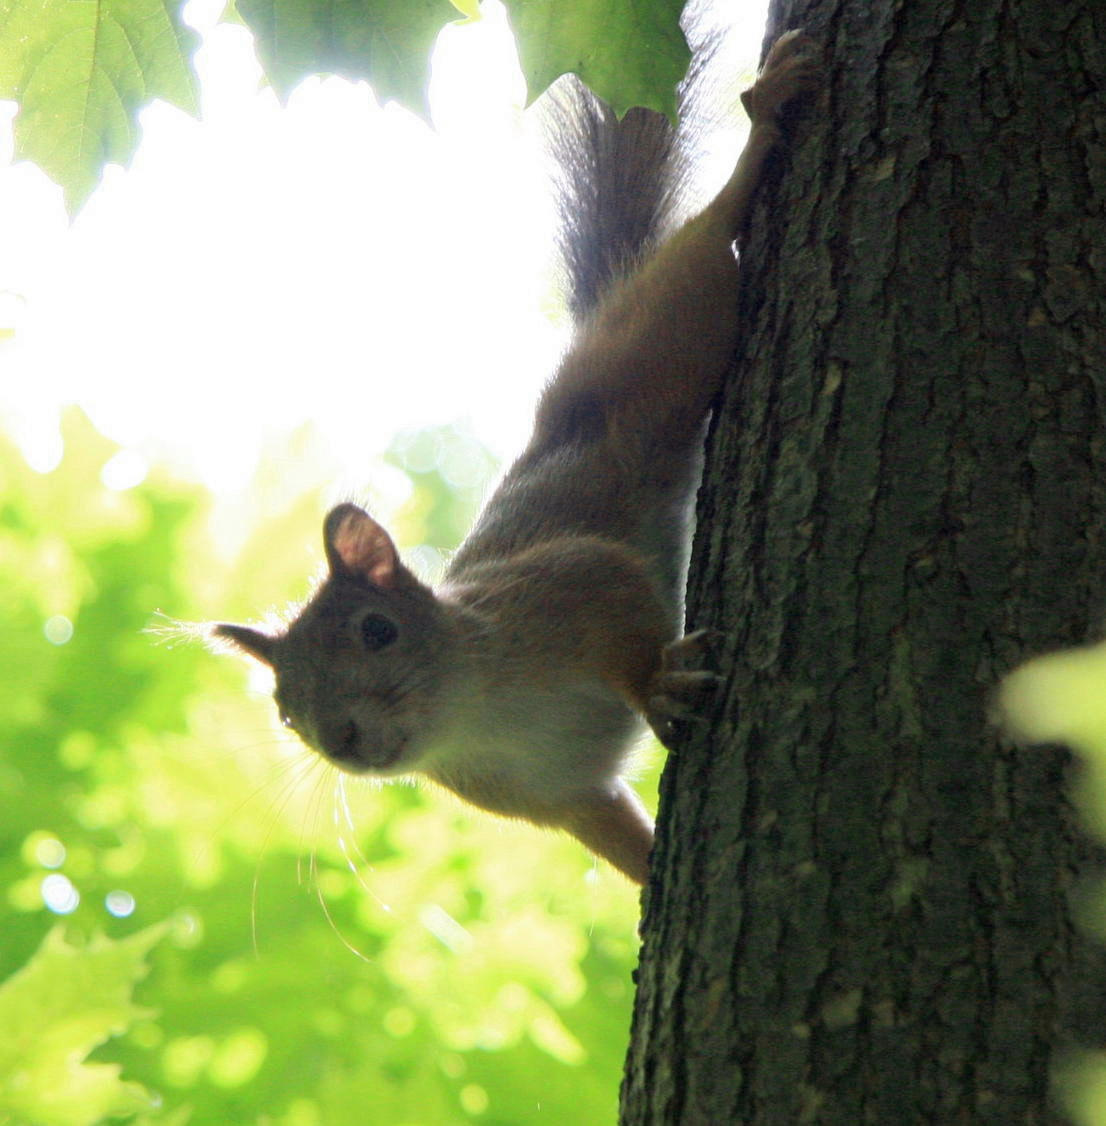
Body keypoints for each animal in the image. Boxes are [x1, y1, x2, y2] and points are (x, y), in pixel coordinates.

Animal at [215, 29, 817, 885]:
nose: (343, 741)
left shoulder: (559, 591)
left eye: (376, 631)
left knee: (702, 250)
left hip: (662, 343)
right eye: (285, 710)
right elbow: (617, 835)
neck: (478, 716)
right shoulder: (559, 798)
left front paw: (656, 684)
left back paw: (762, 127)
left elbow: (617, 588)